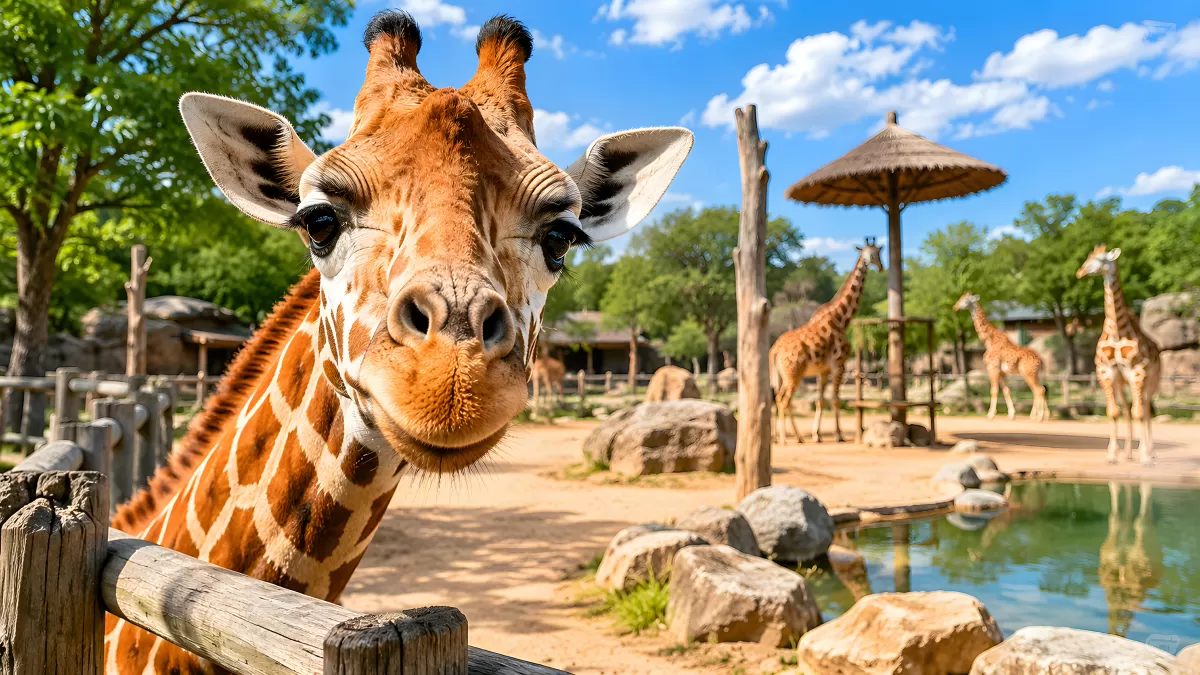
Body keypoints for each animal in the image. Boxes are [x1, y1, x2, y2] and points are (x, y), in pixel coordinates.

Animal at [770, 239, 883, 443]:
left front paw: (818, 435)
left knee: (776, 398)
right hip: (794, 374)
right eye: (873, 254)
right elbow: (835, 400)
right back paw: (789, 438)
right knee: (784, 400)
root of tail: (774, 351)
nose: (880, 267)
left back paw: (779, 437)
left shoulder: (823, 371)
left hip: (780, 376)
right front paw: (838, 435)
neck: (841, 319)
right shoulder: (839, 365)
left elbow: (821, 400)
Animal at [952, 292, 1049, 422]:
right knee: (1040, 389)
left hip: (1028, 373)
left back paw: (1039, 417)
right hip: (1033, 374)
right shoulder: (1002, 372)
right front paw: (1011, 415)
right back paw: (1040, 416)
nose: (955, 307)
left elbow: (994, 391)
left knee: (1039, 390)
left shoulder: (993, 368)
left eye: (966, 300)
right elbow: (1007, 391)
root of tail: (1040, 360)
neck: (988, 340)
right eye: (960, 298)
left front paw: (990, 415)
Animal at [1077, 245, 1161, 465]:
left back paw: (1149, 452)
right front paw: (1113, 454)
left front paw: (1145, 457)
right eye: (1088, 258)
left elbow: (1139, 412)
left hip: (1151, 381)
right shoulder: (1106, 372)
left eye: (1102, 259)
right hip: (1121, 384)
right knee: (1127, 409)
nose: (1080, 272)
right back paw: (1129, 453)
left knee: (1146, 409)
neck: (1117, 332)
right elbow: (1114, 412)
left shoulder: (1138, 372)